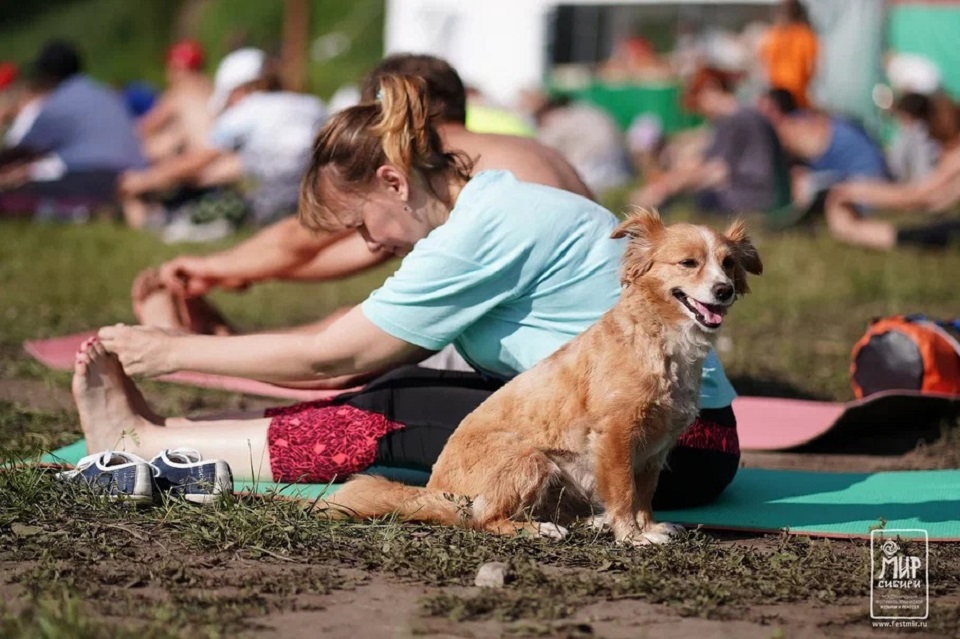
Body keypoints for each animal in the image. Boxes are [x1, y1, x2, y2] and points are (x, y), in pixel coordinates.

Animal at [326, 210, 760, 544]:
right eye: (688, 263)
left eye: (729, 263)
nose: (723, 290)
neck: (660, 340)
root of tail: (438, 490)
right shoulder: (616, 435)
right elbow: (623, 492)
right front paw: (632, 536)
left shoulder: (655, 449)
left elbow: (644, 494)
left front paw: (647, 527)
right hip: (531, 459)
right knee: (483, 520)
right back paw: (540, 529)